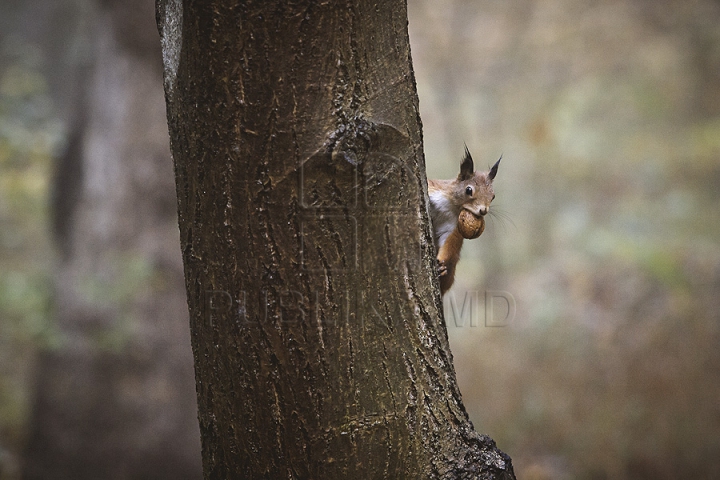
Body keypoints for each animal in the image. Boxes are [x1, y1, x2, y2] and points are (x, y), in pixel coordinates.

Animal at [428, 146, 500, 294]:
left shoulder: (453, 227)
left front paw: (441, 263)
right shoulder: (433, 190)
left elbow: (449, 243)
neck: (451, 206)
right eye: (468, 190)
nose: (483, 210)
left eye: (493, 196)